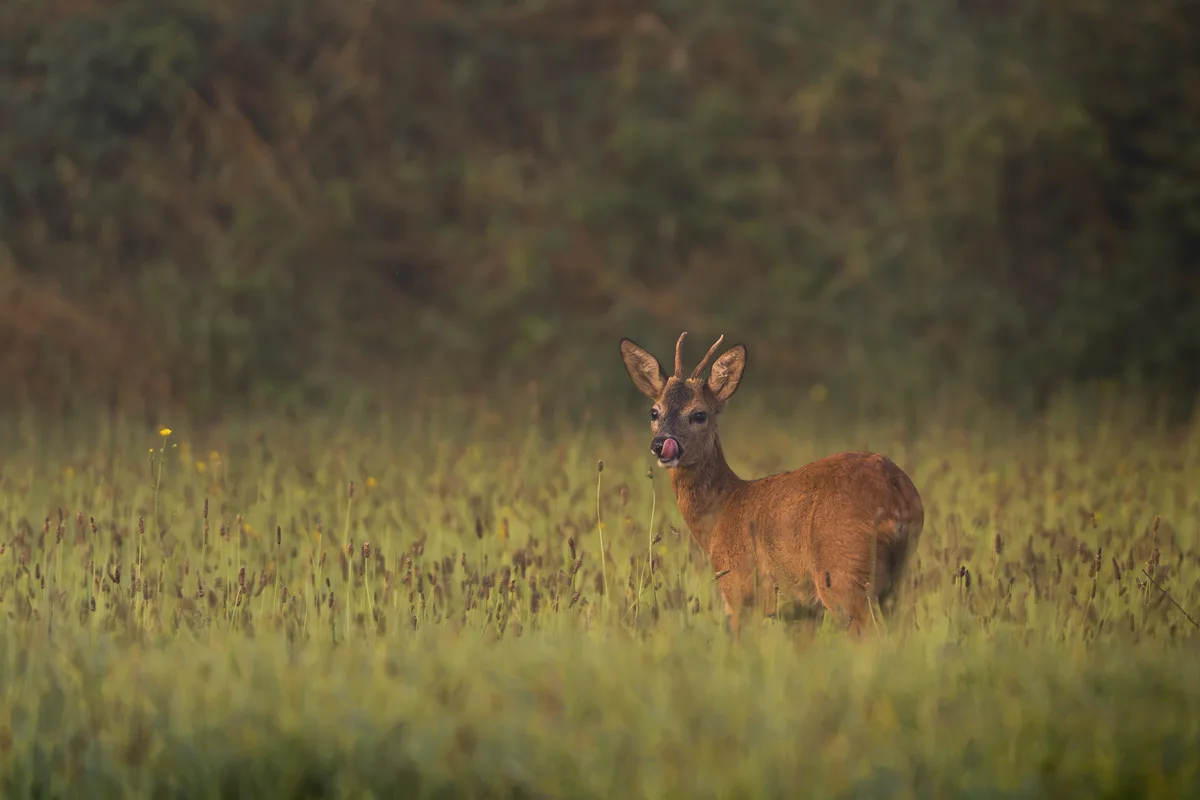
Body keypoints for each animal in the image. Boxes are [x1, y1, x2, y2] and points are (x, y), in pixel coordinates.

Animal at [619, 331, 925, 637]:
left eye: (699, 414)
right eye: (654, 412)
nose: (661, 445)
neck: (721, 512)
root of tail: (895, 494)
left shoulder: (739, 587)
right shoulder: (803, 610)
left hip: (842, 571)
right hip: (898, 575)